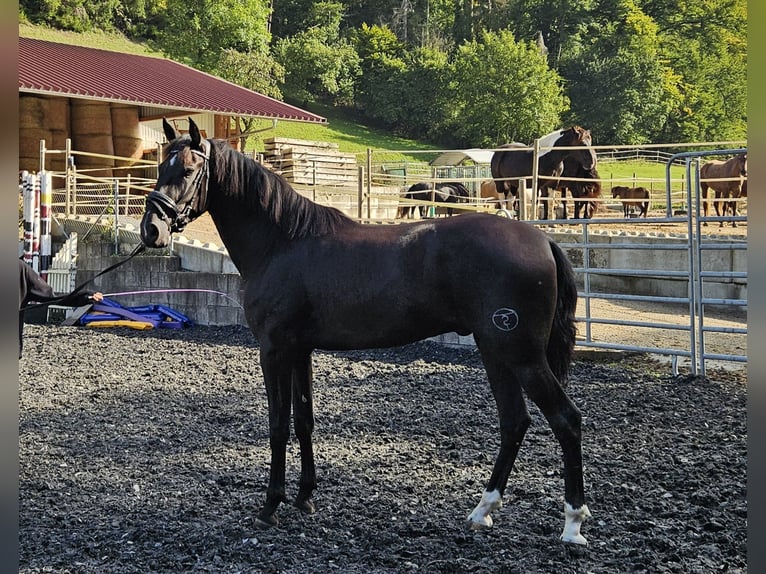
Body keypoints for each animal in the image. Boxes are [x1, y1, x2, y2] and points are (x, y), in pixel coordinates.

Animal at [140, 118, 592, 548]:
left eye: (188, 170)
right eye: (161, 166)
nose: (152, 230)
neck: (282, 242)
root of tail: (543, 240)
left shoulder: (274, 350)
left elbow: (278, 425)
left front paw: (271, 505)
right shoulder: (300, 350)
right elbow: (304, 420)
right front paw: (305, 496)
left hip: (521, 355)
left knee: (566, 419)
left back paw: (572, 524)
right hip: (496, 353)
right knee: (514, 422)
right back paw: (483, 510)